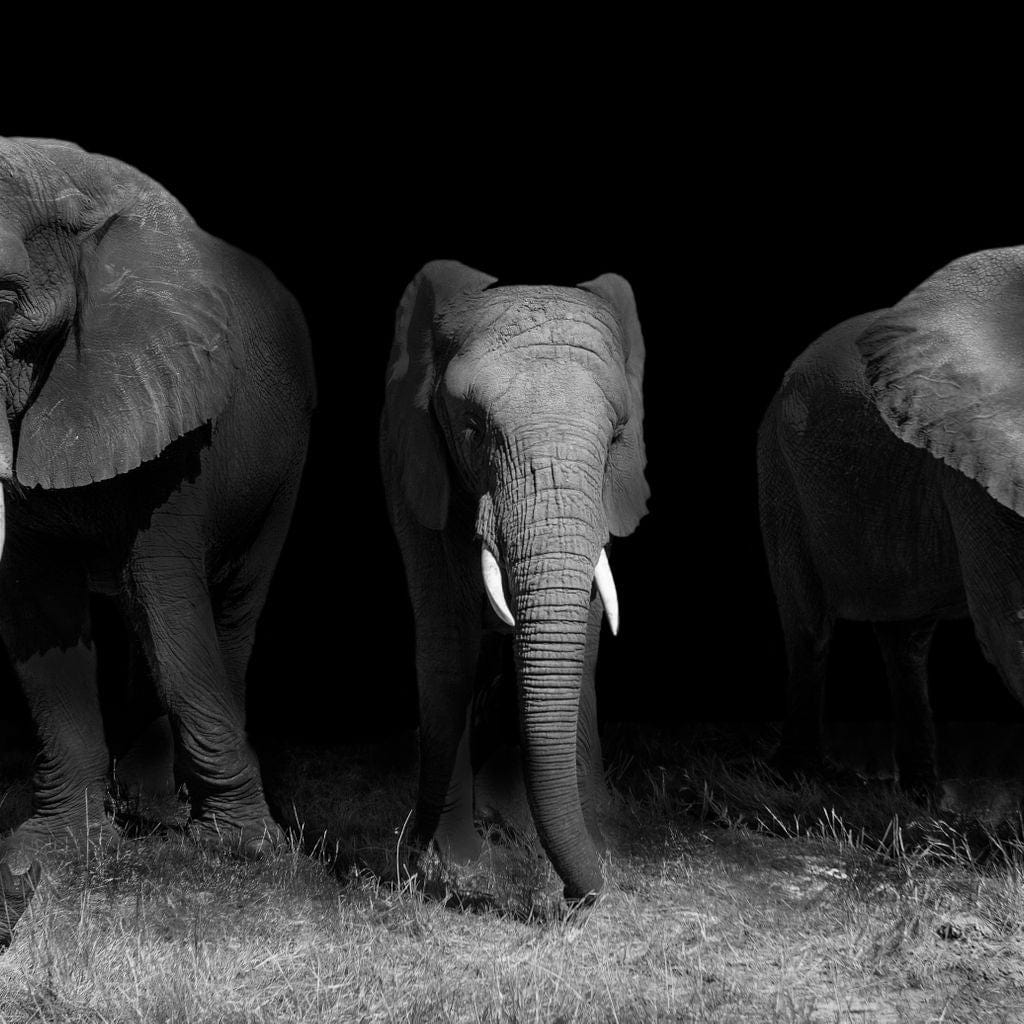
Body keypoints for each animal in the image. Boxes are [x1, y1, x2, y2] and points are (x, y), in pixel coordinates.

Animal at [0, 137, 315, 945]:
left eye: (2, 298)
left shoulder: (173, 412)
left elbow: (172, 618)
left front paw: (243, 850)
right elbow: (39, 620)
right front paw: (52, 850)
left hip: (287, 462)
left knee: (219, 616)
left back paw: (172, 819)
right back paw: (147, 813)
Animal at [380, 261, 649, 902]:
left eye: (616, 436)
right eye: (473, 428)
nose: (581, 899)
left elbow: (586, 635)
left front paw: (595, 846)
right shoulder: (413, 464)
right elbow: (447, 640)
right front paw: (455, 868)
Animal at [758, 245, 1024, 799]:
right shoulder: (974, 457)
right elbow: (1010, 625)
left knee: (906, 639)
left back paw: (922, 798)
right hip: (778, 467)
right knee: (808, 625)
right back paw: (797, 778)